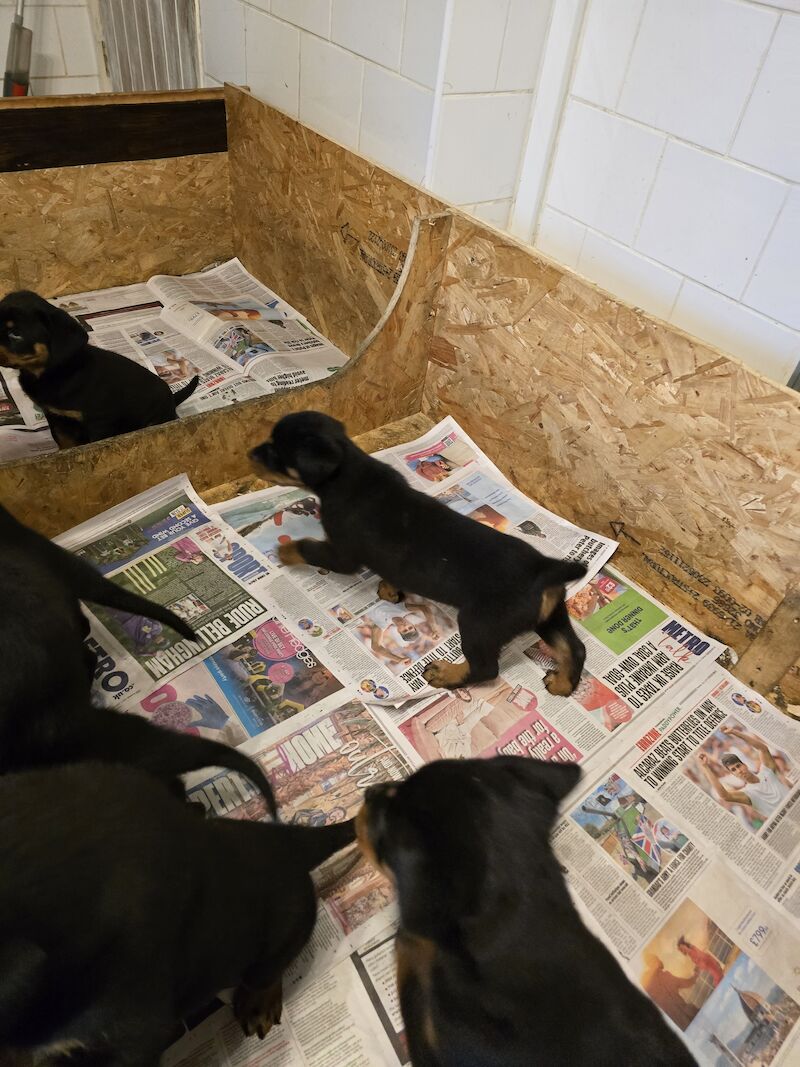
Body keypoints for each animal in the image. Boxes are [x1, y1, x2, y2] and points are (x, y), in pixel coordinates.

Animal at [0, 288, 199, 446]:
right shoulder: (56, 417)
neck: (54, 373)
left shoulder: (99, 421)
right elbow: (65, 444)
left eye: (16, 334)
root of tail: (172, 399)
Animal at [250, 411, 588, 695]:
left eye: (277, 452)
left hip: (479, 624)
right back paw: (562, 683)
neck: (347, 473)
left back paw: (446, 675)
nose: (249, 454)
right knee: (574, 649)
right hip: (551, 617)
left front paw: (284, 550)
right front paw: (389, 590)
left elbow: (309, 547)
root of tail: (544, 569)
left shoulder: (342, 553)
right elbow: (390, 573)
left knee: (486, 668)